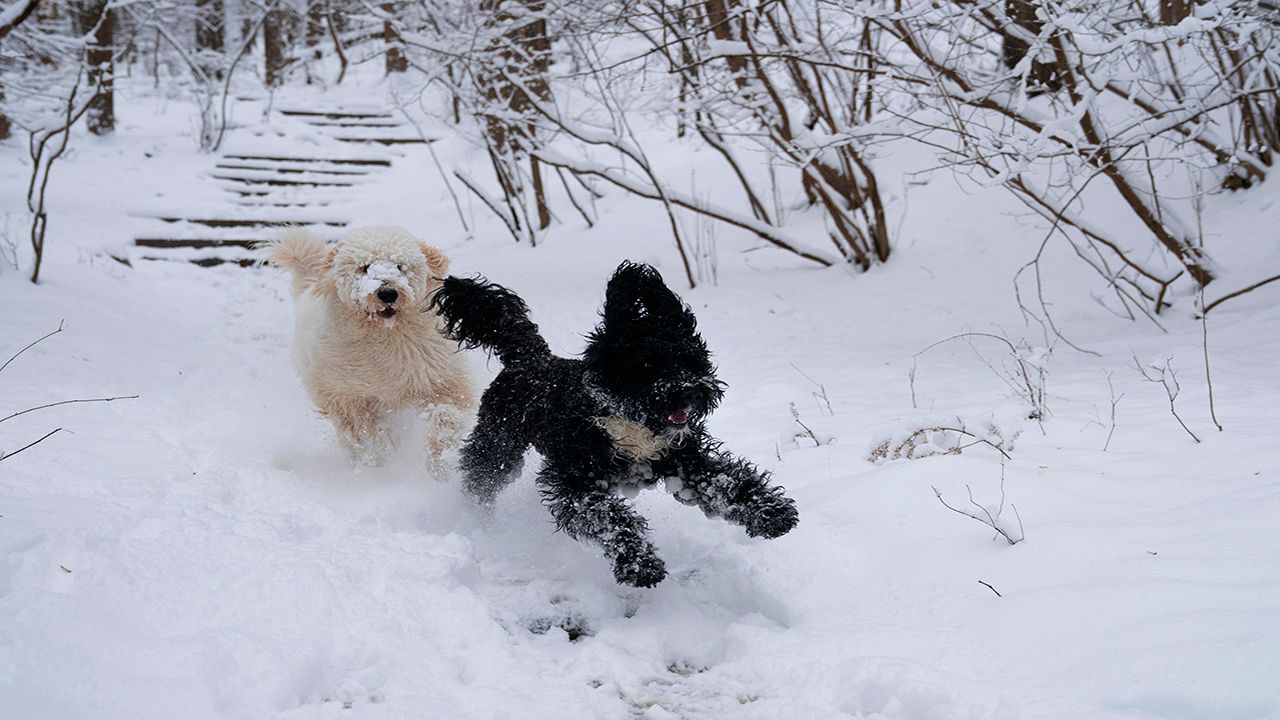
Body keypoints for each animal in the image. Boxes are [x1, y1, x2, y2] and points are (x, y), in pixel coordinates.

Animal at [268, 224, 476, 471]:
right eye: (364, 267)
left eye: (400, 266)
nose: (387, 292)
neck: (387, 334)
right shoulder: (346, 394)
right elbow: (365, 428)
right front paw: (383, 449)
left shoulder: (439, 377)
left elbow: (448, 411)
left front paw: (439, 450)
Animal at [424, 260, 793, 586]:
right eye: (647, 364)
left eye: (691, 360)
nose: (688, 391)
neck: (632, 423)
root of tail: (531, 357)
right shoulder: (575, 484)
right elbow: (611, 519)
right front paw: (640, 565)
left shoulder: (684, 462)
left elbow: (726, 481)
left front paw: (772, 513)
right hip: (498, 445)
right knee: (480, 482)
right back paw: (479, 523)